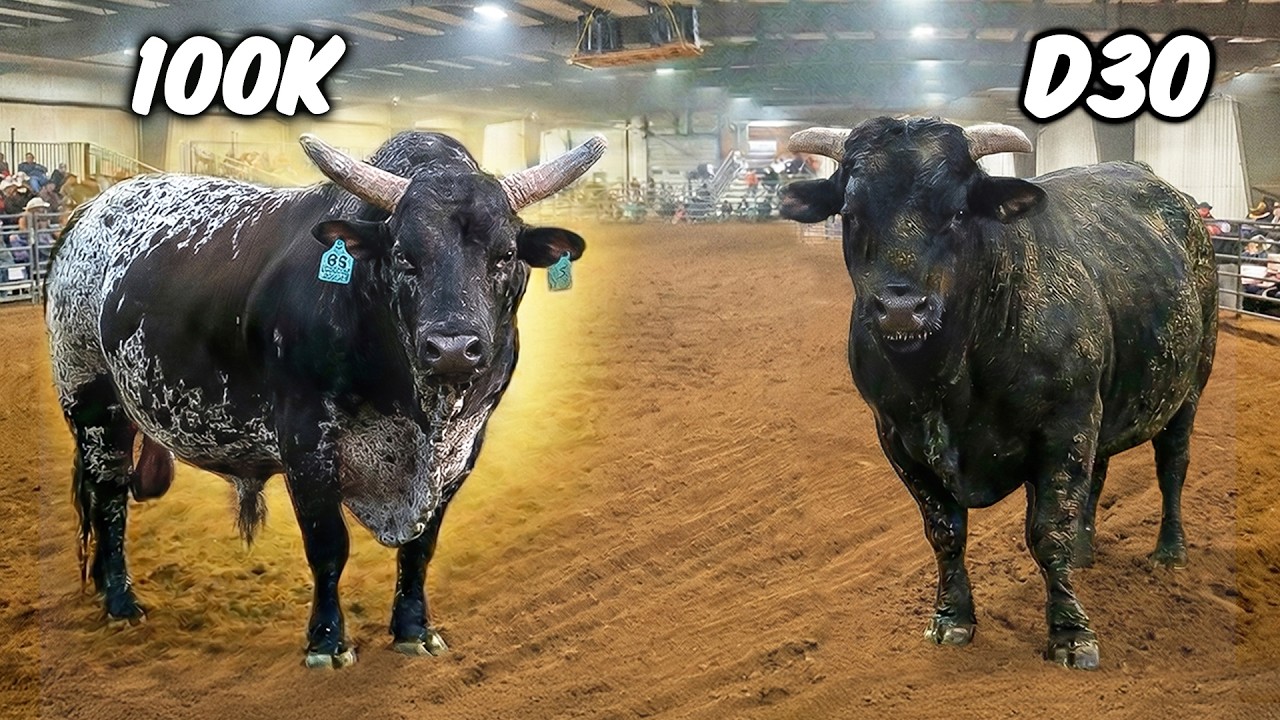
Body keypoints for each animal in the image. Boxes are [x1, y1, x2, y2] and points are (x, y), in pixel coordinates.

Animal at [45, 130, 606, 668]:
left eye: (505, 254)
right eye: (403, 255)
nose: (452, 348)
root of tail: (87, 211)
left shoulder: (462, 449)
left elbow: (421, 547)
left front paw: (413, 629)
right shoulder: (305, 444)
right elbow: (328, 545)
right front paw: (327, 640)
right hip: (91, 396)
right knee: (109, 496)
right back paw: (120, 600)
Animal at [778, 116, 1217, 669]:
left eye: (959, 211)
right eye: (851, 214)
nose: (901, 309)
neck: (948, 380)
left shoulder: (1065, 425)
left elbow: (1047, 530)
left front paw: (1071, 633)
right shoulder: (898, 438)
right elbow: (945, 533)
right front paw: (952, 617)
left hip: (1190, 386)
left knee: (1172, 466)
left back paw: (1169, 551)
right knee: (1098, 474)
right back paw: (1084, 553)